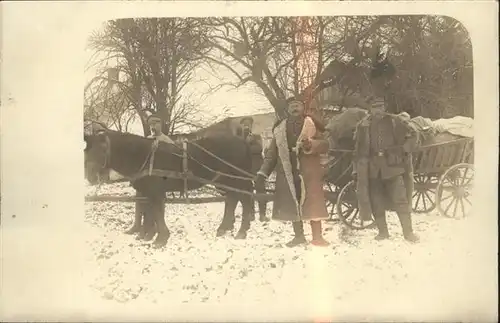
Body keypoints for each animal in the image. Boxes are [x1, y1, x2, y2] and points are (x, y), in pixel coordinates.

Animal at [84, 129, 256, 248]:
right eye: (87, 151)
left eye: (102, 149)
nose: (89, 176)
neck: (145, 156)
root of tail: (243, 142)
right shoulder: (148, 193)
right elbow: (151, 213)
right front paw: (149, 235)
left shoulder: (156, 192)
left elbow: (157, 213)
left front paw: (160, 239)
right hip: (225, 181)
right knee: (232, 200)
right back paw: (223, 228)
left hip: (236, 180)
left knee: (244, 200)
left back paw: (242, 231)